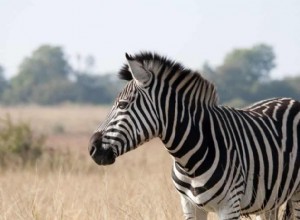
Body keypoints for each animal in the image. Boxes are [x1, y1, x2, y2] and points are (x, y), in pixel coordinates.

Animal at [89, 52, 300, 219]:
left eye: (122, 104)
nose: (92, 148)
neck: (189, 161)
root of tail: (290, 100)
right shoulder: (189, 204)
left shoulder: (230, 205)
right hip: (270, 200)